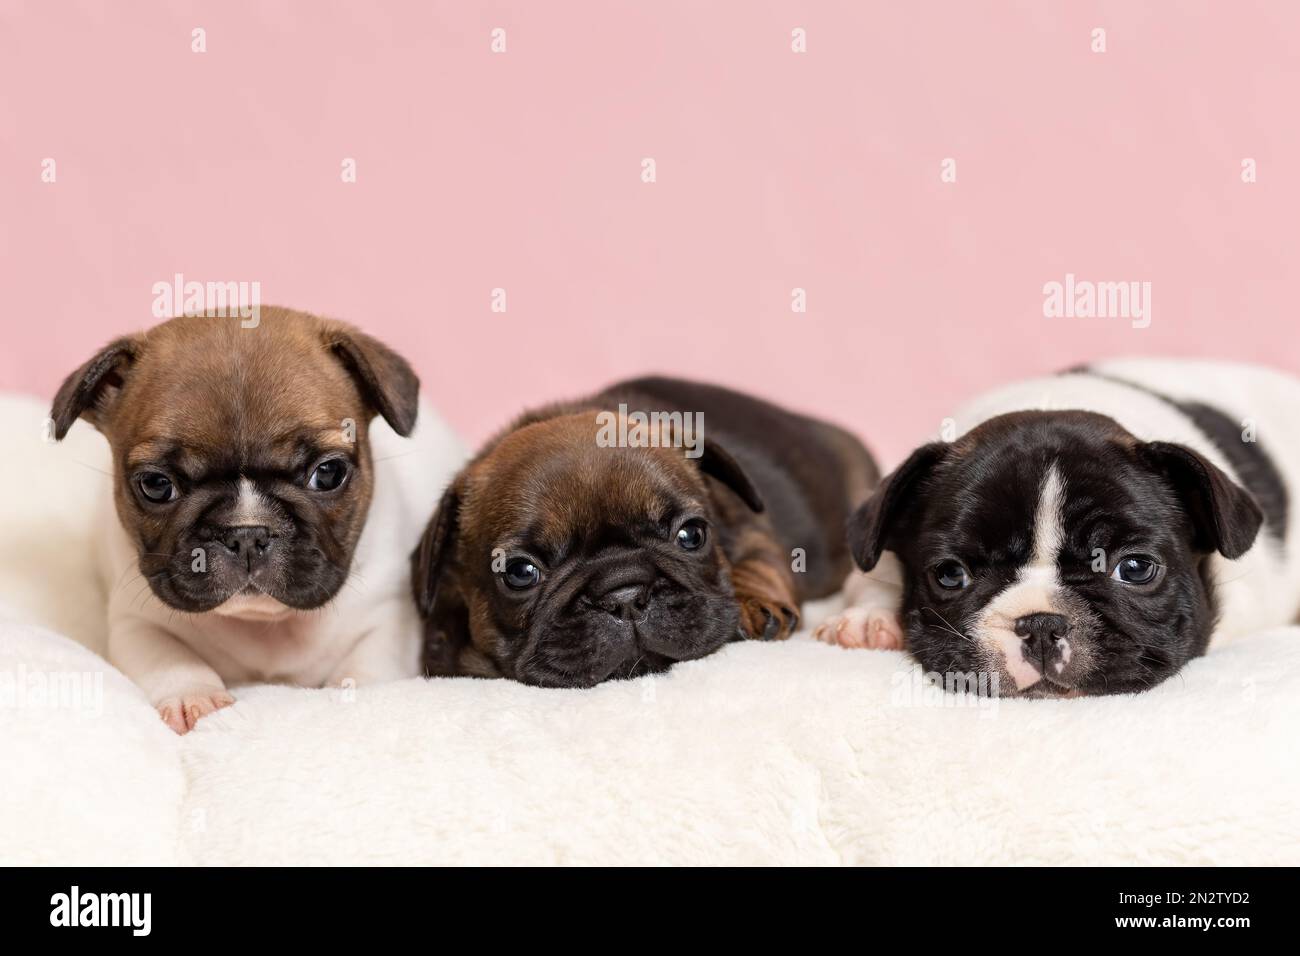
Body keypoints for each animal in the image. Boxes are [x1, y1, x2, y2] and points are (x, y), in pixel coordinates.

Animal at [408, 374, 873, 686]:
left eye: (692, 536)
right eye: (521, 573)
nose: (625, 594)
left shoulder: (753, 532)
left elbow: (759, 567)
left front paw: (753, 603)